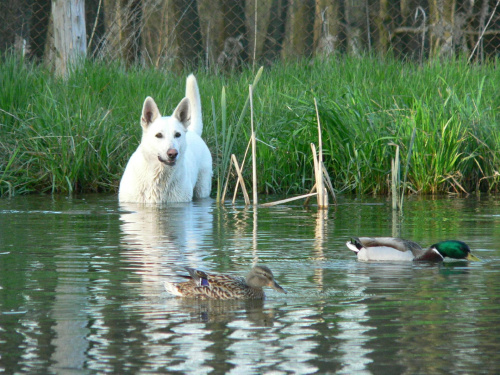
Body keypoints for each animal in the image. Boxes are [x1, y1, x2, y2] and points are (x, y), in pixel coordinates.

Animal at [119, 75, 213, 204]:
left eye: (177, 135)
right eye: (158, 135)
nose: (172, 153)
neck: (159, 177)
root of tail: (192, 131)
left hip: (202, 188)